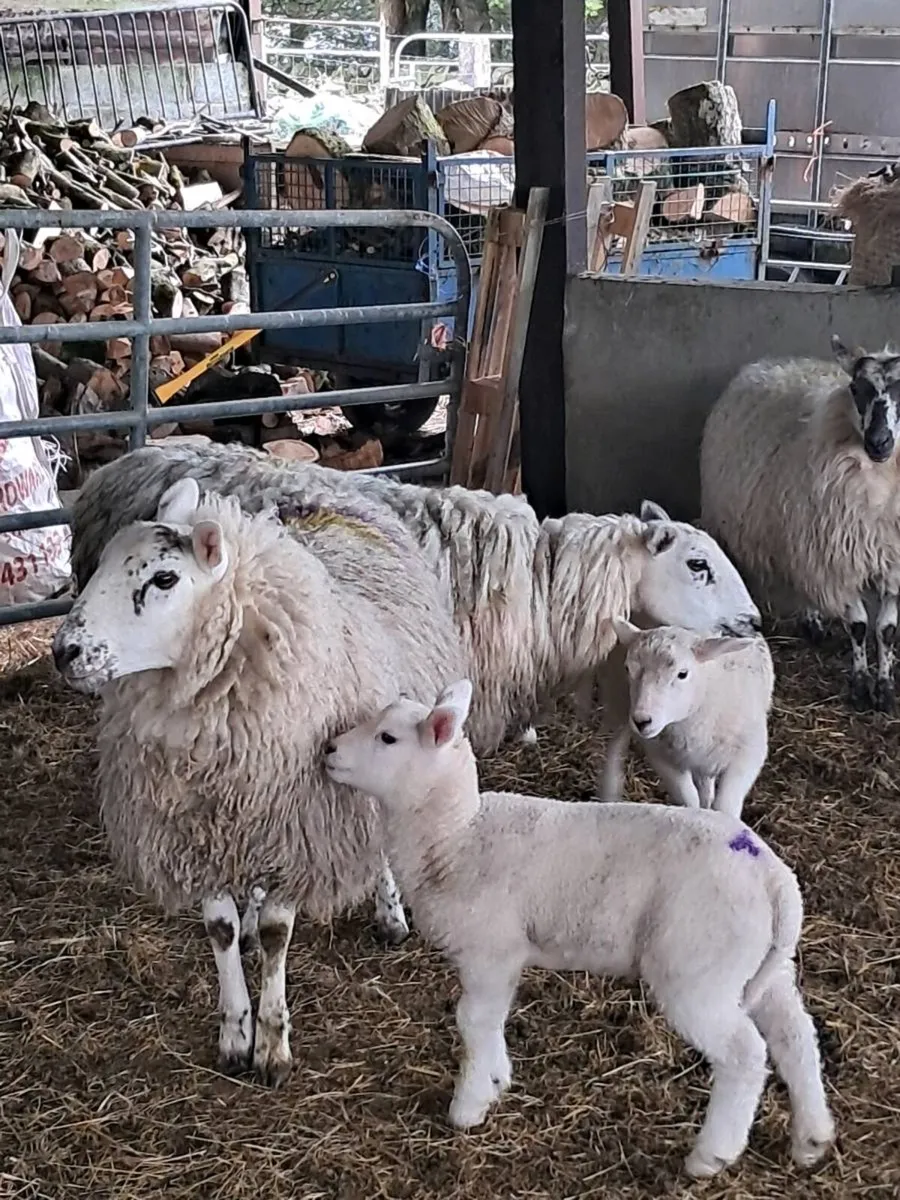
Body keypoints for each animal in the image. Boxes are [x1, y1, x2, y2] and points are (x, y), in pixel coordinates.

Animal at [51, 476, 469, 1084]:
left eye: (164, 578)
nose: (64, 652)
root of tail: (320, 499)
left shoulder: (301, 831)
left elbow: (277, 935)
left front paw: (272, 1045)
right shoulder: (199, 831)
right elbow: (220, 930)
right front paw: (234, 1033)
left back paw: (389, 913)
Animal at [323, 680, 835, 1179]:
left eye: (388, 738)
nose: (328, 748)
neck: (456, 835)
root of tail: (773, 877)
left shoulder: (490, 950)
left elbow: (473, 1021)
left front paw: (469, 1106)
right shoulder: (504, 958)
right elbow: (491, 1020)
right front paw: (497, 1078)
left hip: (698, 966)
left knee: (744, 1054)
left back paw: (711, 1156)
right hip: (756, 965)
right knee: (795, 1034)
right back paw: (812, 1138)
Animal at [603, 620, 774, 817]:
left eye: (682, 674)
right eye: (628, 668)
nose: (641, 721)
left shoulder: (748, 755)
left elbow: (725, 805)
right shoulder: (662, 758)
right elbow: (689, 800)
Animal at [700, 335, 900, 713]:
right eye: (856, 389)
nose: (878, 442)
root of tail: (779, 361)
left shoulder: (893, 565)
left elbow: (886, 630)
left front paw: (884, 689)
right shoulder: (837, 559)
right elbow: (858, 626)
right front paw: (860, 685)